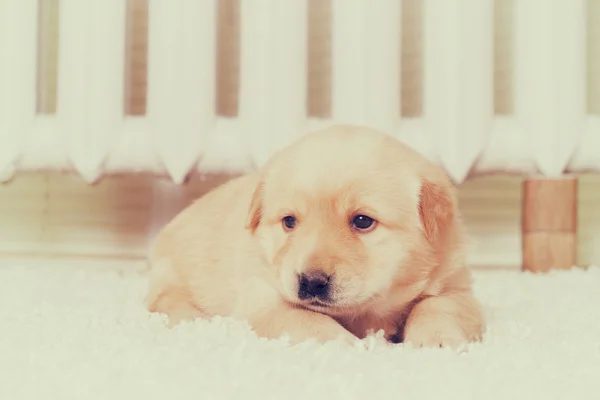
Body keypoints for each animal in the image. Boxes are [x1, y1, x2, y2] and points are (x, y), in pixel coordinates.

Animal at [146, 124, 488, 346]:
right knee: (164, 302)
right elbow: (305, 318)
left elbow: (439, 307)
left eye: (362, 221)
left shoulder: (454, 285)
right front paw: (345, 345)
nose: (310, 281)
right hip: (171, 272)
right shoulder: (263, 295)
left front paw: (436, 341)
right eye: (289, 222)